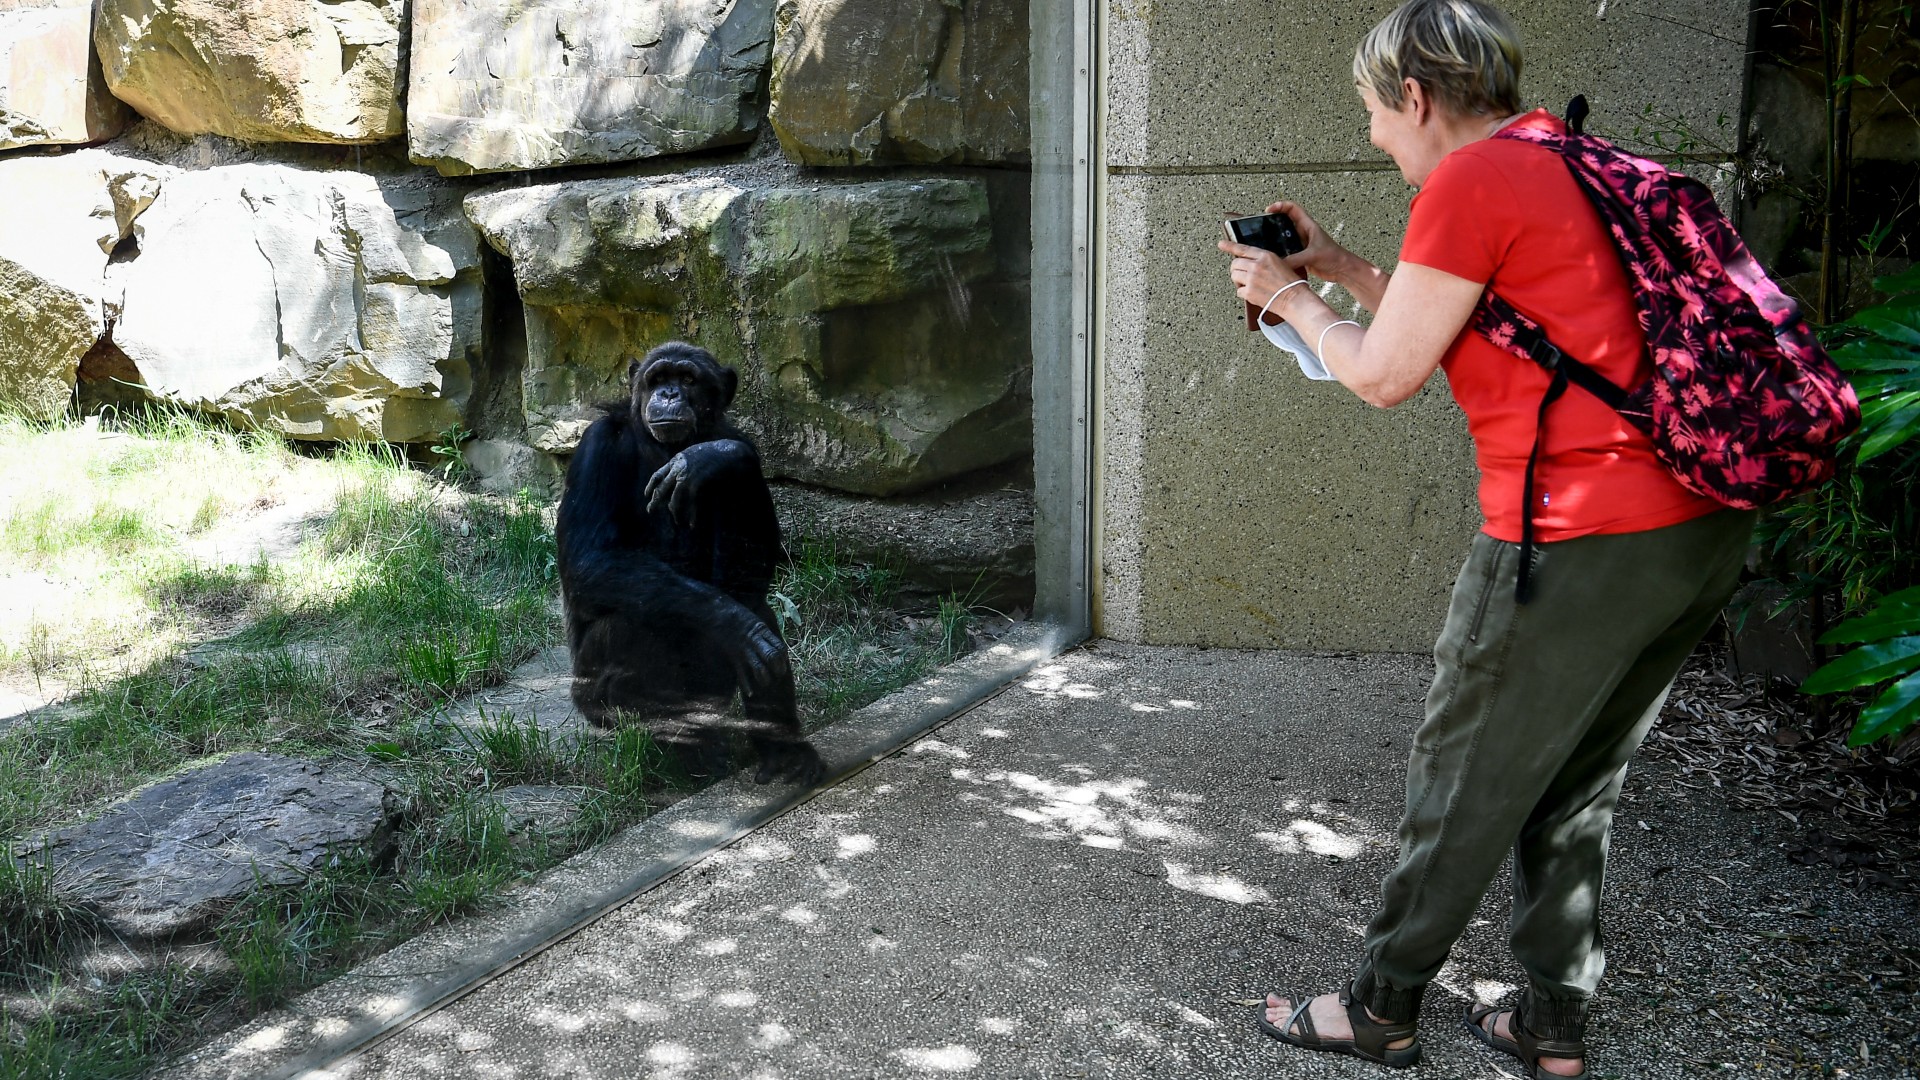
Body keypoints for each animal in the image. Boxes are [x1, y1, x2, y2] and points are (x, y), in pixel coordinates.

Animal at [556, 340, 825, 787]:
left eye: (687, 379)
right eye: (658, 378)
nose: (669, 394)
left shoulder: (742, 442)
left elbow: (754, 564)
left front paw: (706, 458)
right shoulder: (596, 447)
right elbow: (588, 562)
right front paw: (735, 625)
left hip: (714, 694)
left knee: (752, 603)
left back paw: (782, 752)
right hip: (594, 703)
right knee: (638, 623)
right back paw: (682, 749)